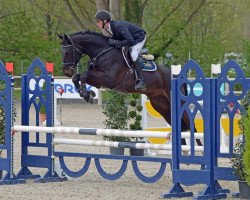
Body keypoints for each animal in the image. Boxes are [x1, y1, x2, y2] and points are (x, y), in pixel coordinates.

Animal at [58, 30, 191, 133]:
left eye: (68, 52)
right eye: (61, 52)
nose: (66, 72)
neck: (102, 52)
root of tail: (175, 75)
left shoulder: (108, 79)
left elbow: (84, 75)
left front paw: (87, 94)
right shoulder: (99, 82)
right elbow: (78, 77)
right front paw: (87, 94)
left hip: (177, 103)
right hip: (161, 105)